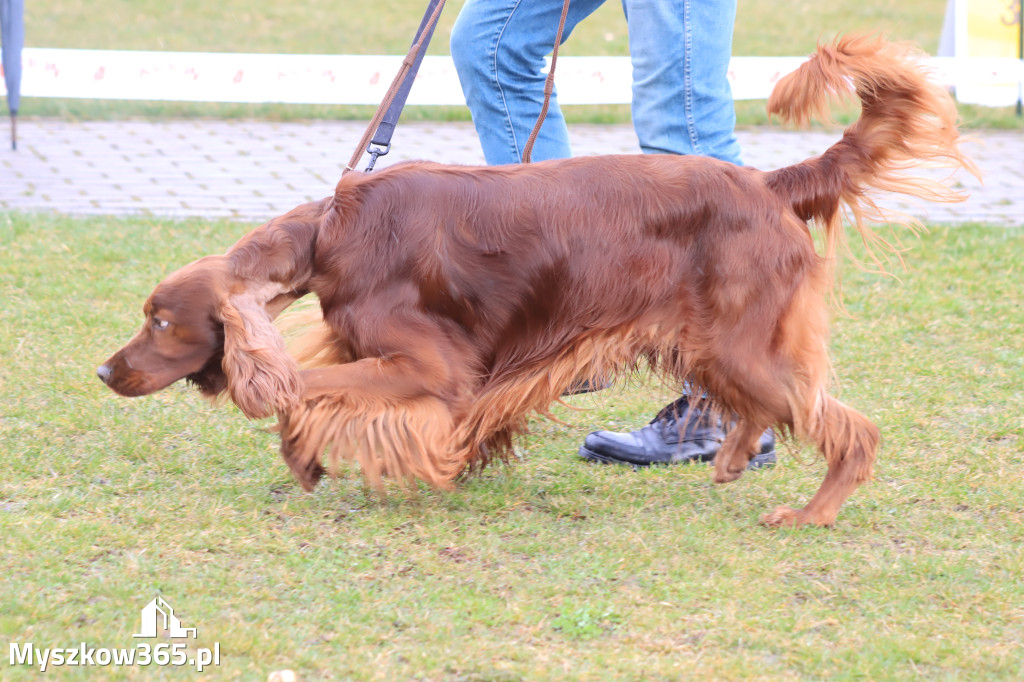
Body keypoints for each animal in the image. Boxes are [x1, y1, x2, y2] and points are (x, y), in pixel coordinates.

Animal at [99, 37, 970, 524]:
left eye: (161, 321)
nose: (105, 371)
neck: (327, 233)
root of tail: (766, 182)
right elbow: (310, 398)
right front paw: (307, 459)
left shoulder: (431, 368)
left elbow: (305, 390)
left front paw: (311, 446)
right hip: (712, 342)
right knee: (768, 406)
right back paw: (727, 458)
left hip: (737, 339)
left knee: (849, 428)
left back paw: (809, 516)